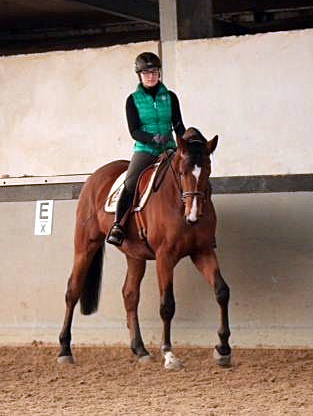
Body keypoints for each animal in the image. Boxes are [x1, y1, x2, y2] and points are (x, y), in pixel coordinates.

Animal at [57, 127, 230, 370]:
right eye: (181, 172)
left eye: (207, 170)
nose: (193, 214)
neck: (176, 201)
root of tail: (95, 176)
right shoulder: (165, 256)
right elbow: (167, 304)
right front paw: (169, 354)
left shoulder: (202, 251)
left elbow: (222, 291)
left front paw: (223, 349)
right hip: (85, 246)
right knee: (73, 291)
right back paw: (65, 350)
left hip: (134, 255)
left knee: (130, 295)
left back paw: (140, 349)